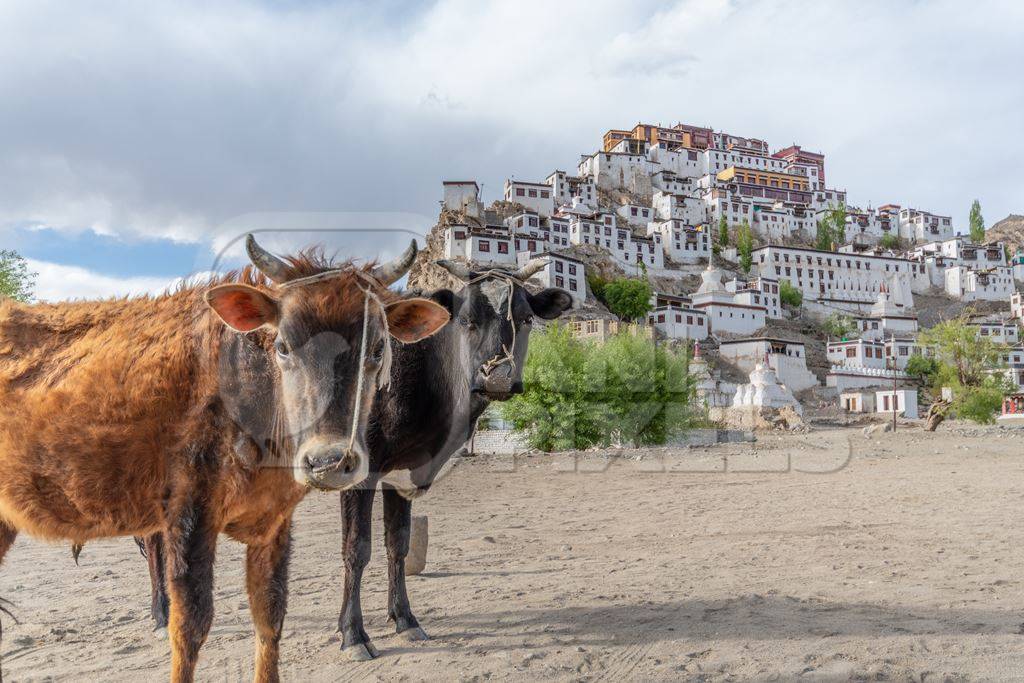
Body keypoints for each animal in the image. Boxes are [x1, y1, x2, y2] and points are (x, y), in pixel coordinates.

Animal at [0, 237, 448, 679]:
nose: (328, 461)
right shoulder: (189, 516)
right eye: (283, 346)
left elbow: (270, 616)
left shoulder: (274, 523)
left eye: (378, 349)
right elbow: (190, 629)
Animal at [139, 241, 573, 663]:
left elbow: (398, 543)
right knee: (156, 542)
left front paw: (405, 619)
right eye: (466, 320)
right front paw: (353, 633)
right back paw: (161, 615)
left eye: (526, 319)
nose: (497, 377)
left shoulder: (402, 474)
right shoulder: (358, 470)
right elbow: (357, 549)